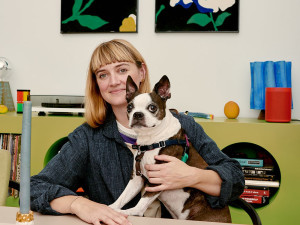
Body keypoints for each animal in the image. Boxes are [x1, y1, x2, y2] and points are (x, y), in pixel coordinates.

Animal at [109, 75, 231, 221]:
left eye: (152, 107)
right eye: (129, 107)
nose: (137, 114)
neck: (152, 140)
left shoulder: (158, 179)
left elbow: (142, 202)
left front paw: (128, 212)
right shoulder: (137, 179)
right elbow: (122, 197)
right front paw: (109, 208)